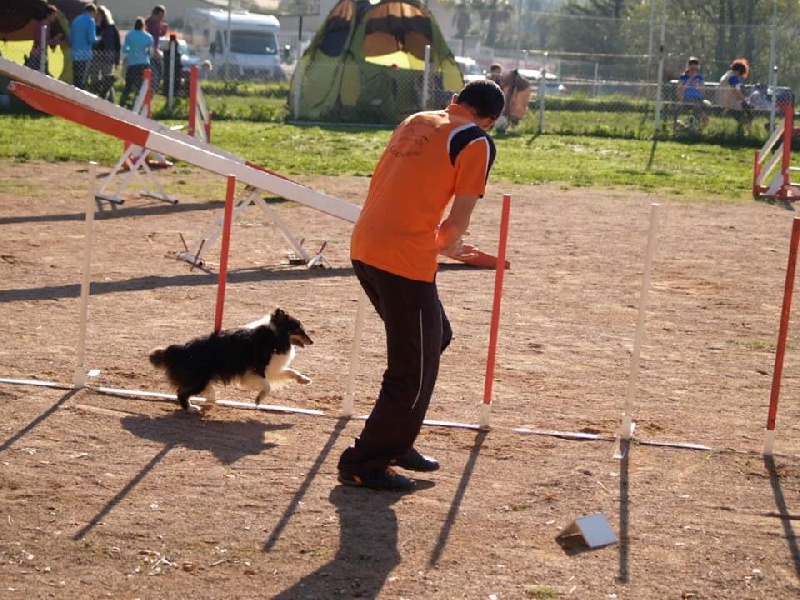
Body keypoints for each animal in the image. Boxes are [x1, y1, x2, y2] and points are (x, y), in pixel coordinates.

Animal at [150, 310, 312, 412]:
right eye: (299, 329)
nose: (312, 341)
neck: (274, 335)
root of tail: (180, 350)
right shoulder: (254, 372)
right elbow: (267, 386)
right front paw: (258, 400)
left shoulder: (271, 368)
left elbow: (290, 372)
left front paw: (304, 380)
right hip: (198, 380)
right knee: (181, 393)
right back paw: (191, 408)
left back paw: (210, 399)